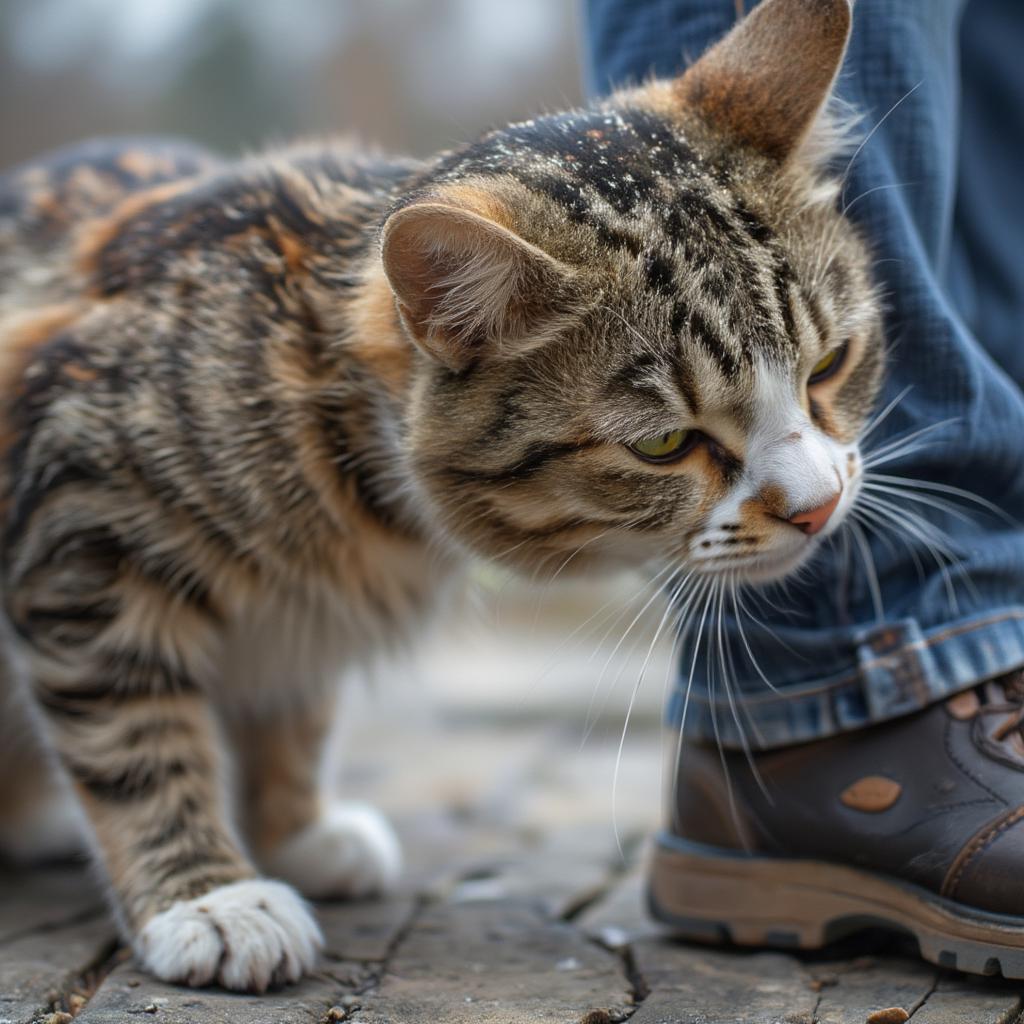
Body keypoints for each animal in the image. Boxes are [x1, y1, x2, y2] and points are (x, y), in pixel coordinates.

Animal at [0, 0, 880, 991]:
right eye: (664, 445)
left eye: (831, 364)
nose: (816, 504)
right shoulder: (79, 529)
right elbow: (136, 737)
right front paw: (208, 894)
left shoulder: (300, 618)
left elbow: (293, 707)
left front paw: (295, 831)